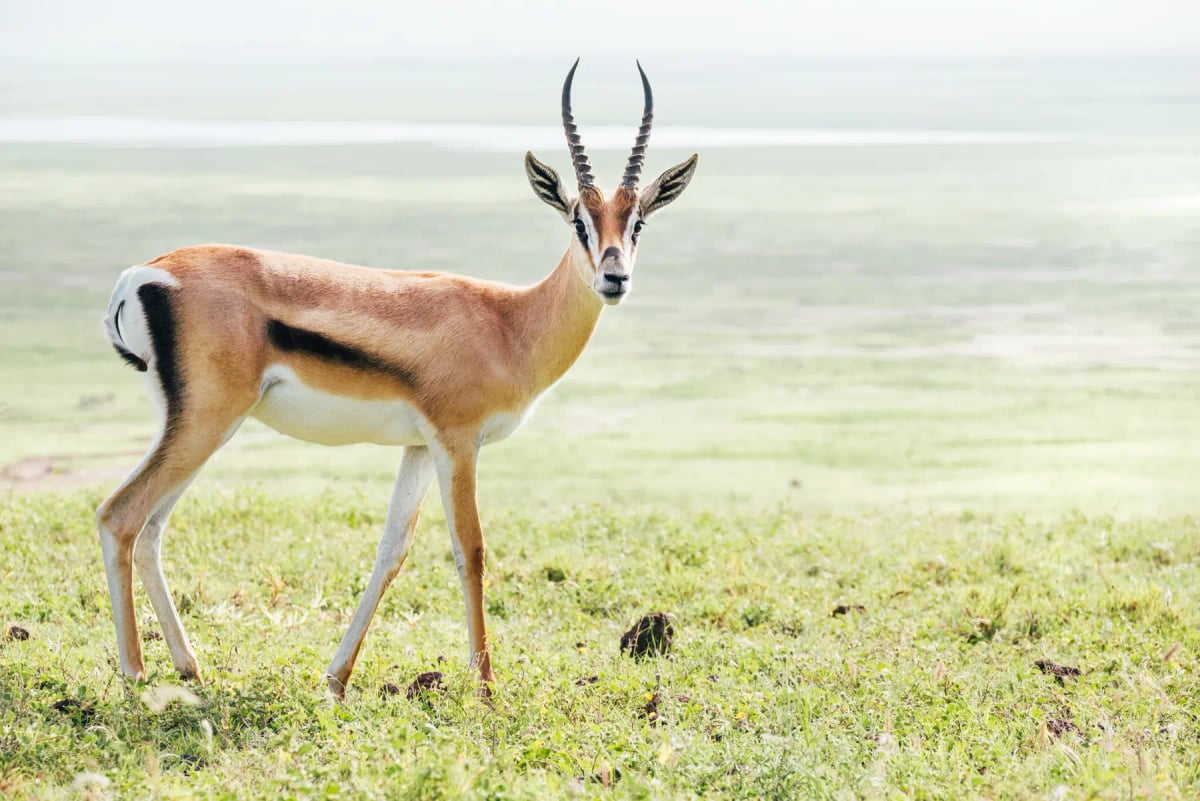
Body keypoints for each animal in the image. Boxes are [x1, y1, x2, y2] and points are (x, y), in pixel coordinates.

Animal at [96, 60, 698, 697]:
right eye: (579, 221)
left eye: (637, 223)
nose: (614, 278)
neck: (509, 323)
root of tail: (144, 274)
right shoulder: (457, 442)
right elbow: (470, 548)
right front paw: (486, 689)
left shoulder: (417, 447)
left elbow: (392, 552)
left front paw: (336, 680)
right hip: (207, 422)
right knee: (120, 516)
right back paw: (135, 674)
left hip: (202, 426)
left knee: (152, 528)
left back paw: (189, 666)